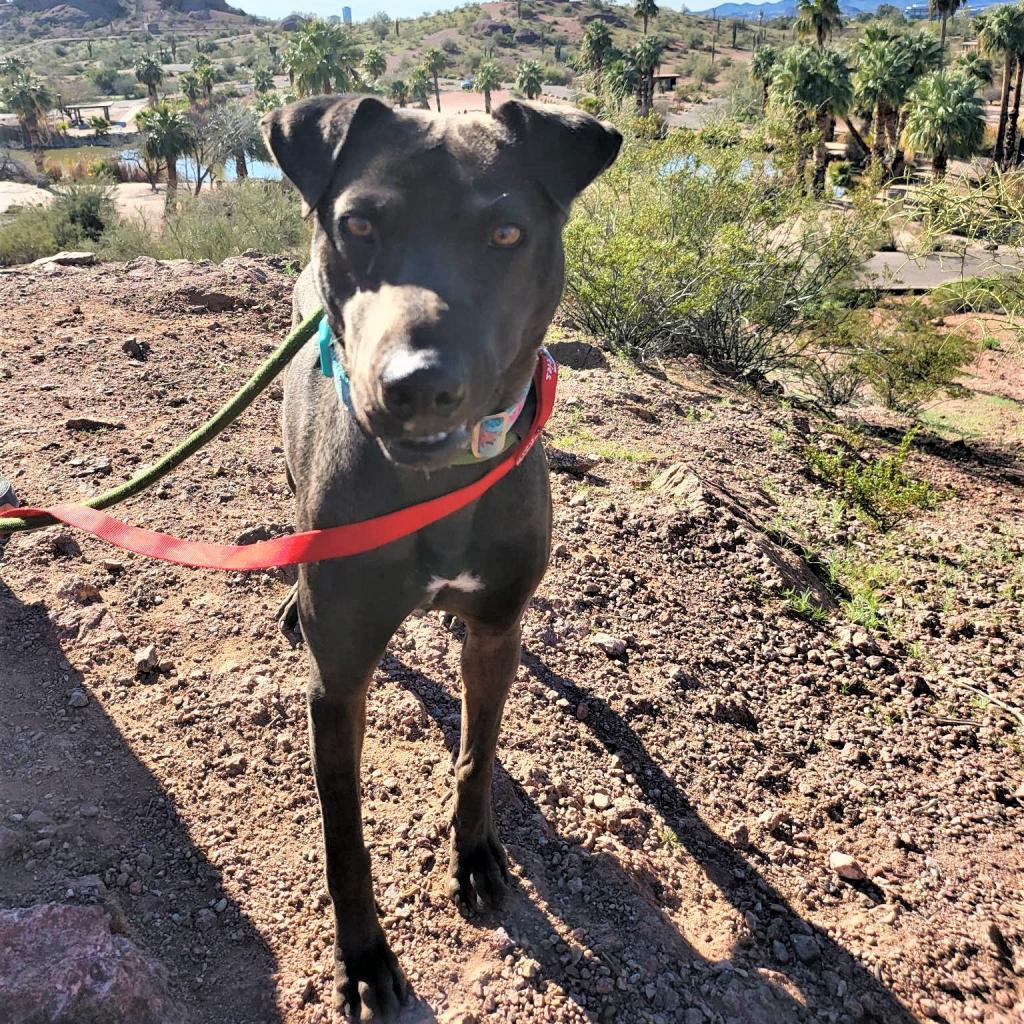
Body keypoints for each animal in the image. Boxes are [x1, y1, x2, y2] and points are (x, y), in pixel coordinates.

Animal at [260, 94, 618, 1015]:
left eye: (506, 234)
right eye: (358, 225)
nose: (417, 386)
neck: (437, 486)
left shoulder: (495, 630)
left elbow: (478, 758)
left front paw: (477, 857)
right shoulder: (339, 678)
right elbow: (343, 836)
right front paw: (362, 957)